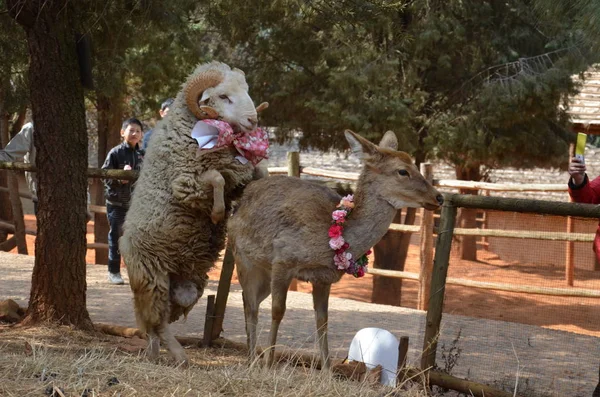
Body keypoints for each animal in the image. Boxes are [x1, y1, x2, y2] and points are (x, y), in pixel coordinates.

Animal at [227, 130, 442, 368]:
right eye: (402, 171)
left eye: (414, 164)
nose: (438, 197)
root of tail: (239, 203)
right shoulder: (283, 259)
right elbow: (277, 311)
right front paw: (268, 365)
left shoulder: (324, 277)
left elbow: (323, 320)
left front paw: (327, 370)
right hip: (243, 259)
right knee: (251, 305)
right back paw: (252, 360)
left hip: (264, 273)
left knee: (249, 301)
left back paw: (251, 356)